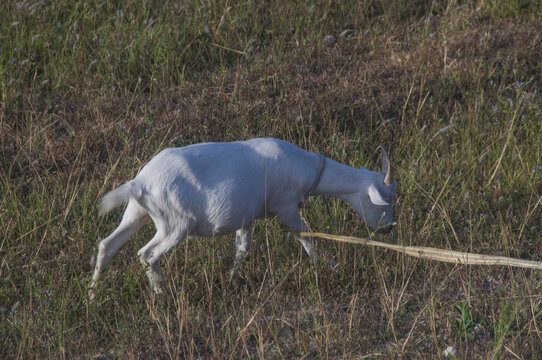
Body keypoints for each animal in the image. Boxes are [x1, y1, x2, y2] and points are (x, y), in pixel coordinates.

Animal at [88, 136, 396, 296]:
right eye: (384, 202)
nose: (388, 229)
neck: (303, 167)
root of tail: (139, 183)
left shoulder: (246, 218)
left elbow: (242, 248)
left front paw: (233, 278)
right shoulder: (286, 207)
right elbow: (306, 234)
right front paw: (328, 265)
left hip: (137, 212)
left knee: (107, 245)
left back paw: (92, 294)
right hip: (174, 224)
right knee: (147, 254)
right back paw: (162, 295)